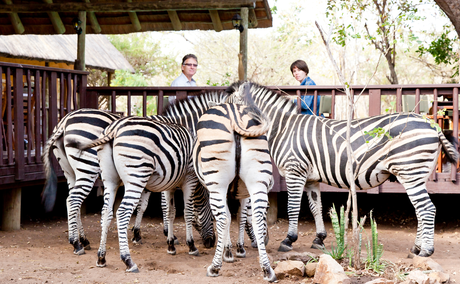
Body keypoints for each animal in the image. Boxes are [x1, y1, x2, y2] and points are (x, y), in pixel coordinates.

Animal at [194, 102, 276, 282]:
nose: (267, 240)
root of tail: (233, 111)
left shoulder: (221, 191)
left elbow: (229, 218)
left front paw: (228, 251)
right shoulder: (244, 194)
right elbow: (241, 217)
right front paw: (238, 249)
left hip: (217, 183)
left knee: (223, 218)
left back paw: (214, 267)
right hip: (257, 179)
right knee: (257, 220)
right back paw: (267, 269)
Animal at [227, 80, 460, 258]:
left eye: (226, 108)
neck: (284, 128)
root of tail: (433, 125)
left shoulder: (295, 171)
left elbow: (293, 207)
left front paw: (288, 240)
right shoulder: (311, 178)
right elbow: (316, 207)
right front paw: (319, 238)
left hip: (410, 171)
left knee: (427, 209)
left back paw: (426, 251)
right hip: (417, 174)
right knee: (421, 210)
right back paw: (417, 248)